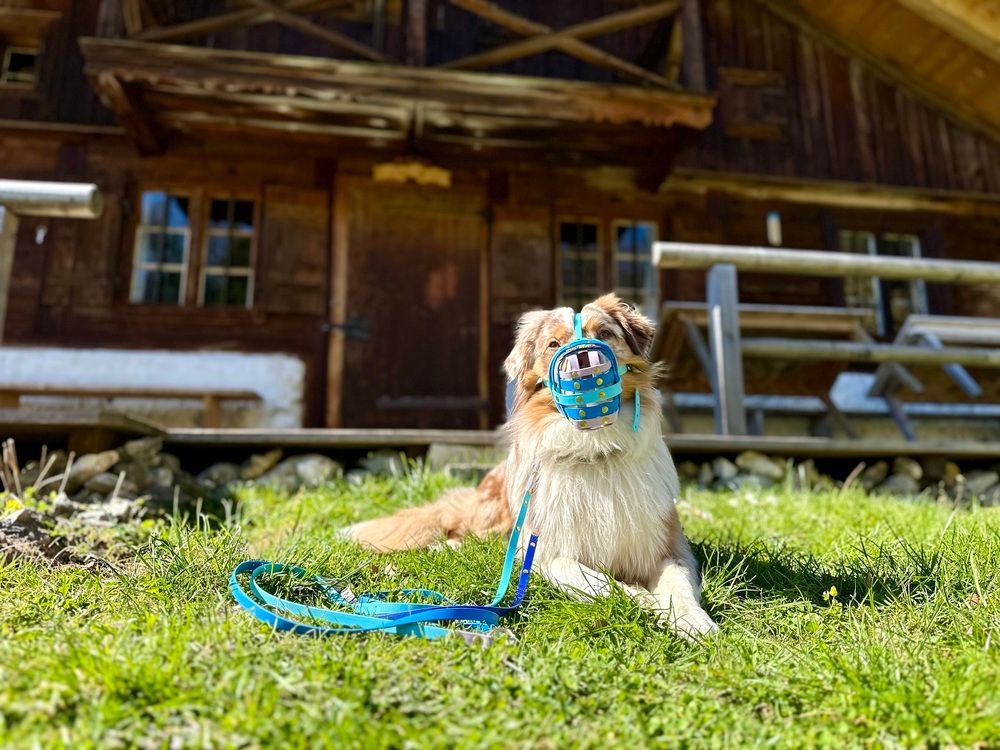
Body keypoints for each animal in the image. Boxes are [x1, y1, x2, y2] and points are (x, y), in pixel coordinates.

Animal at [346, 296, 720, 644]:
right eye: (553, 344)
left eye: (604, 334)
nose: (583, 359)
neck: (595, 450)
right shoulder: (543, 553)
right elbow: (592, 577)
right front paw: (643, 599)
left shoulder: (669, 546)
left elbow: (678, 586)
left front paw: (692, 621)